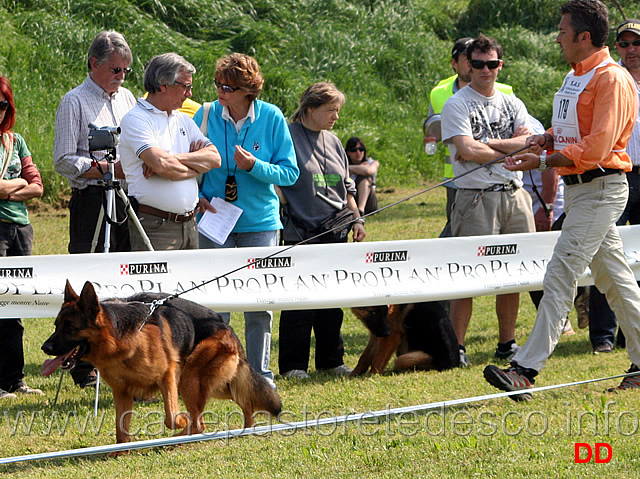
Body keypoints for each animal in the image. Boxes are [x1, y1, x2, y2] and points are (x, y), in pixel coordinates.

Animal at [40, 284, 280, 448]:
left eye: (70, 328)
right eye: (56, 326)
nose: (45, 347)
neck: (121, 339)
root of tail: (226, 327)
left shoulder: (168, 377)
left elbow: (171, 418)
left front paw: (180, 421)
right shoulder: (121, 392)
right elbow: (121, 427)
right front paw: (119, 452)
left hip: (189, 379)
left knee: (199, 422)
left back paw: (182, 437)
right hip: (212, 383)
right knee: (243, 397)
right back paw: (247, 426)